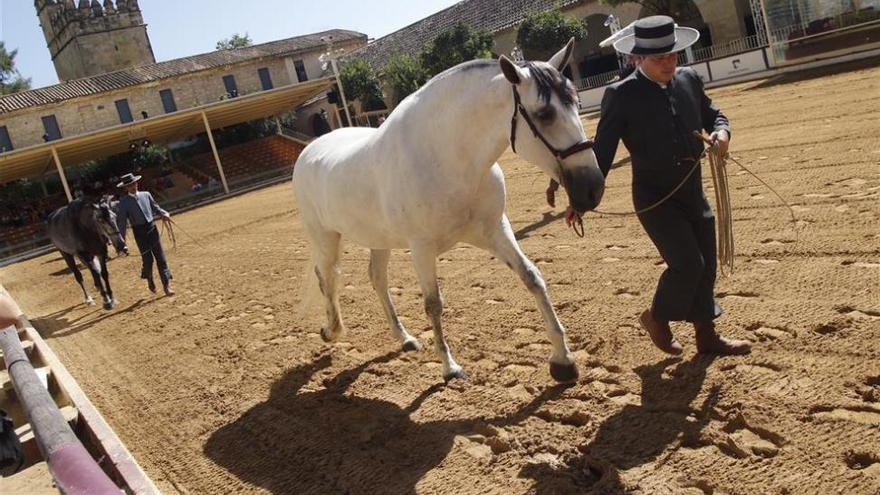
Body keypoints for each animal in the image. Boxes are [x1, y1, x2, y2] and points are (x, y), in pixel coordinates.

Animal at [294, 40, 604, 386]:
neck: (447, 156)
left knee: (377, 279)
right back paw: (331, 331)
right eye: (545, 114)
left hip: (379, 239)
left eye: (576, 102)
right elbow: (433, 304)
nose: (592, 189)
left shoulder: (495, 230)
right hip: (325, 237)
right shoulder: (422, 248)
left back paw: (405, 338)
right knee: (327, 279)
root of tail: (308, 151)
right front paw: (450, 367)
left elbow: (532, 277)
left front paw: (563, 360)